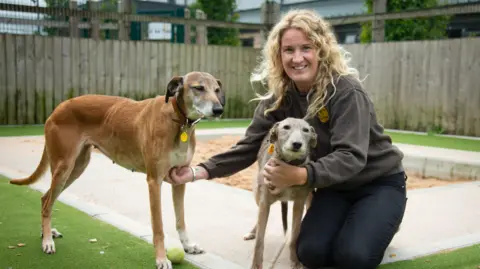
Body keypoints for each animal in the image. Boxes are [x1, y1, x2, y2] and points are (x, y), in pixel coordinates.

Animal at [9, 70, 226, 266]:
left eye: (216, 89)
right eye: (198, 88)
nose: (219, 109)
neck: (178, 119)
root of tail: (58, 108)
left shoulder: (180, 179)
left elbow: (181, 219)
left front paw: (188, 246)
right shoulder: (154, 181)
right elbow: (158, 227)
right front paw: (161, 258)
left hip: (76, 168)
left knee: (45, 198)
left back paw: (46, 233)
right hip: (64, 167)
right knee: (47, 202)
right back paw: (47, 241)